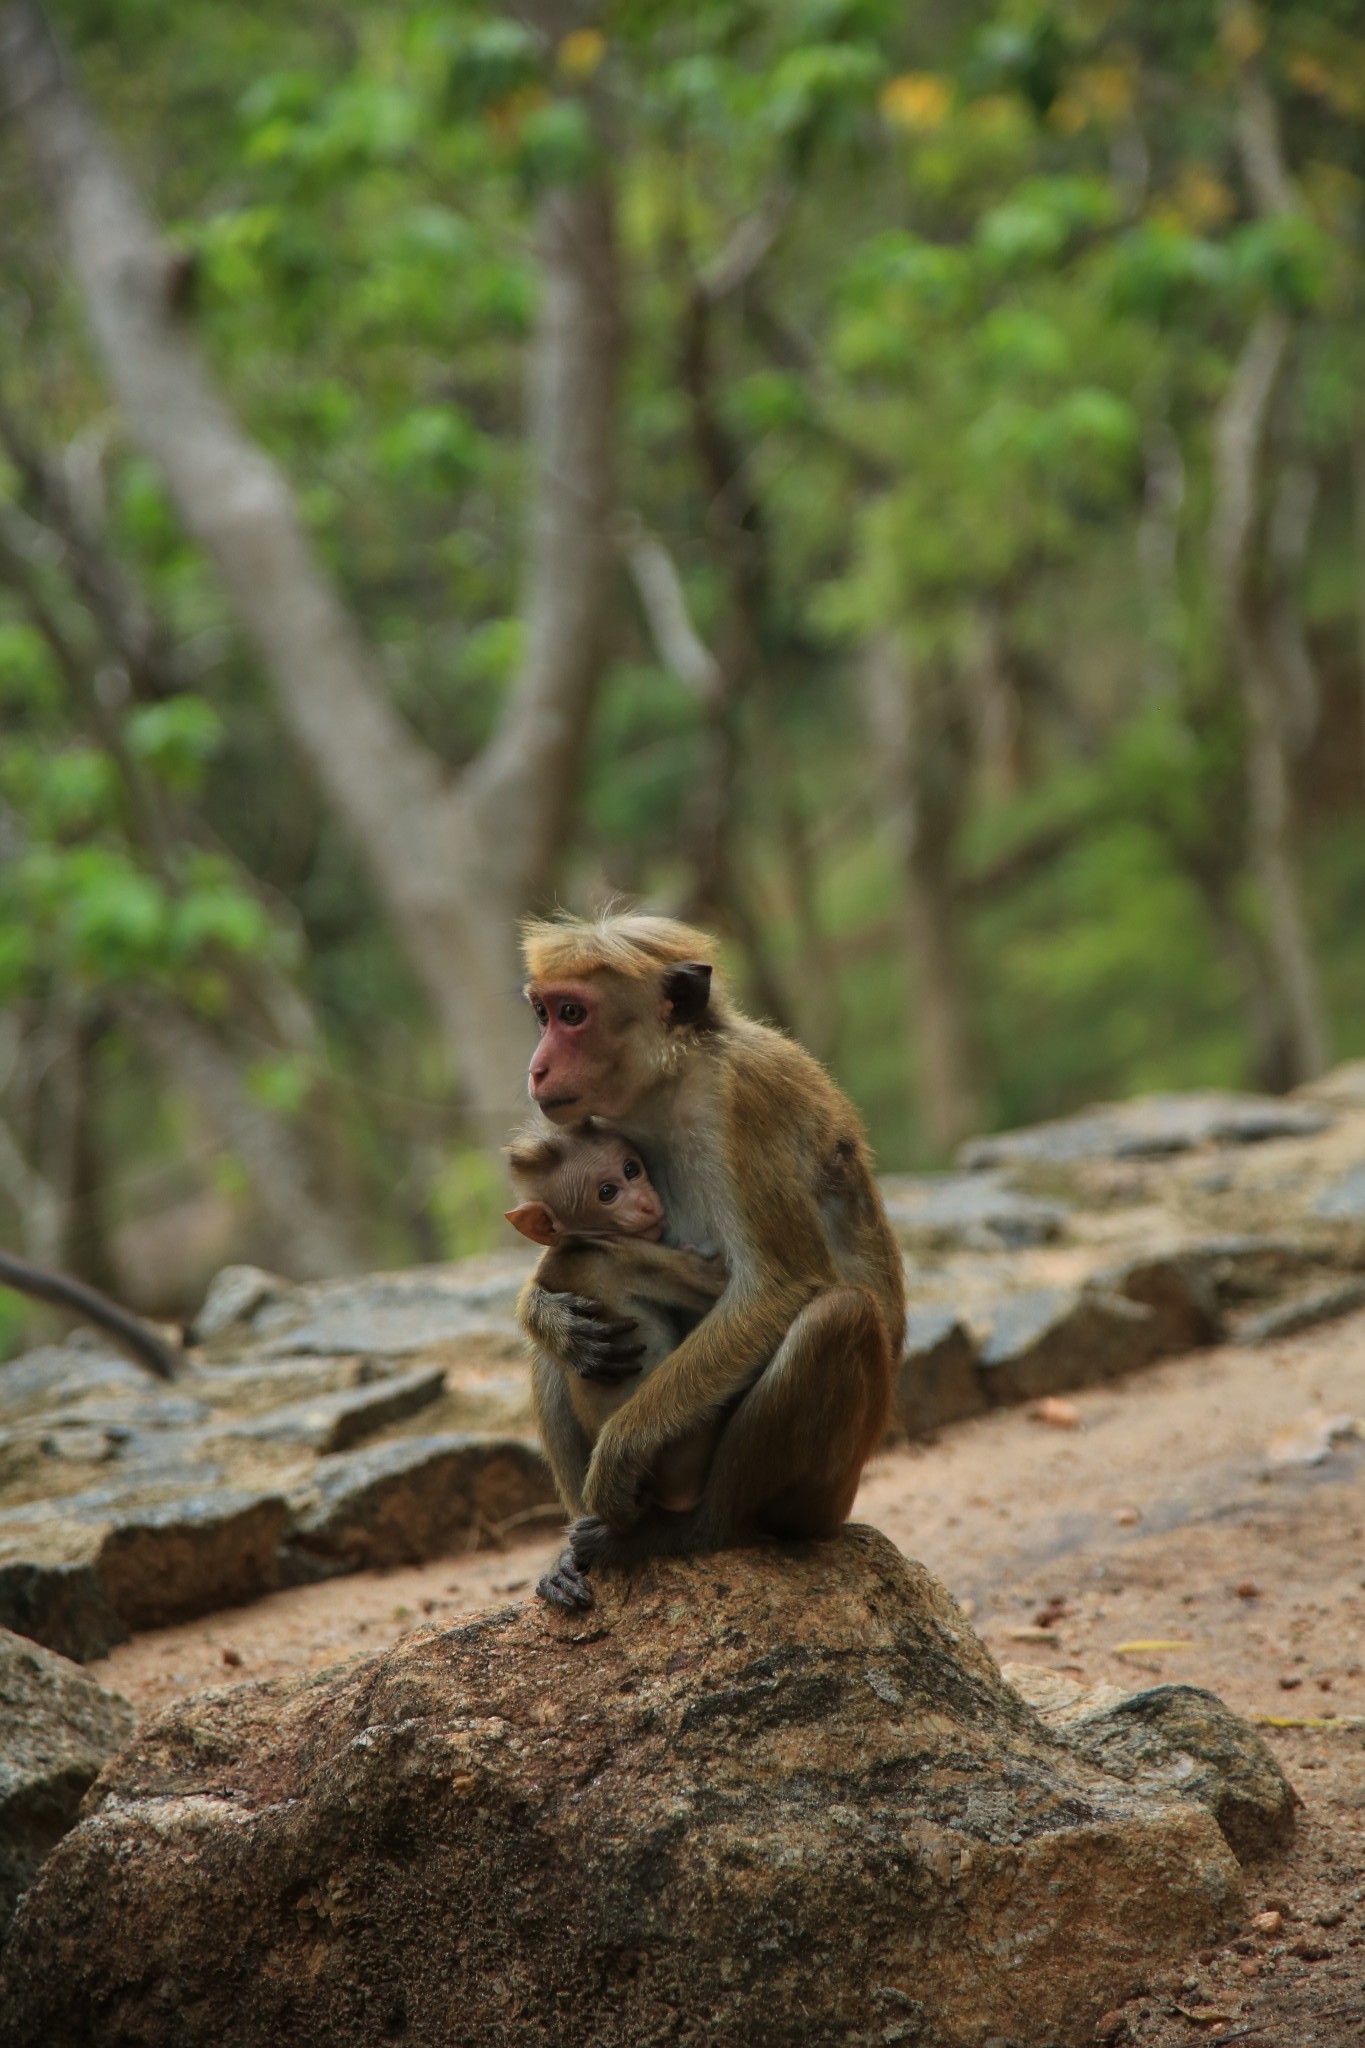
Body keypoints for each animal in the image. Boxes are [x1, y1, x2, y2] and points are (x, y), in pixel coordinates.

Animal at [509, 1122, 724, 1507]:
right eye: (606, 1193)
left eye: (631, 1169)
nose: (645, 1202)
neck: (585, 1239)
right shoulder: (628, 1255)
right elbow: (718, 1284)